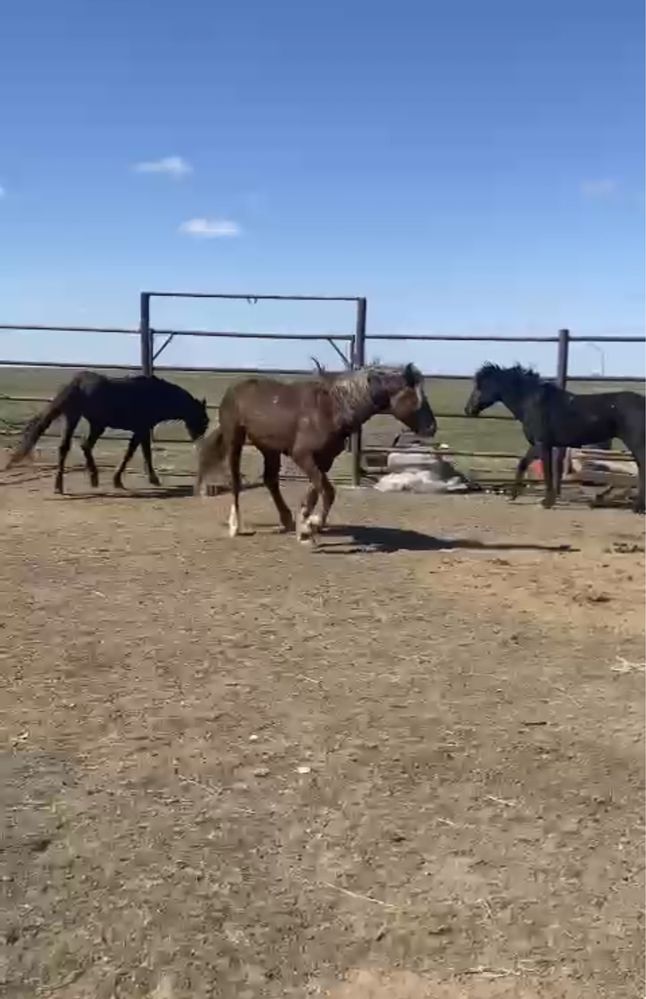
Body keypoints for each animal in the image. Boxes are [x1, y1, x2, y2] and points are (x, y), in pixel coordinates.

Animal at [7, 370, 210, 494]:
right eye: (204, 420)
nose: (200, 441)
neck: (155, 395)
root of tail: (77, 382)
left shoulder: (141, 430)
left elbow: (138, 452)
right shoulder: (142, 429)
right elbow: (136, 453)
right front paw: (139, 480)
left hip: (79, 419)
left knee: (69, 447)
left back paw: (67, 485)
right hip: (93, 423)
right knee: (82, 445)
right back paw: (88, 479)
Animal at [197, 364, 438, 544]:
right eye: (415, 397)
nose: (432, 428)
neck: (331, 409)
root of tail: (233, 389)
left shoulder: (323, 460)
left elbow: (315, 491)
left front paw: (304, 525)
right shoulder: (302, 455)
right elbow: (328, 491)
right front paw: (311, 526)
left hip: (269, 448)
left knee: (270, 479)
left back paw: (286, 521)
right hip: (234, 439)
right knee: (236, 480)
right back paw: (235, 526)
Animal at [468, 364, 644, 512]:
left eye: (479, 387)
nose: (468, 410)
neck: (532, 403)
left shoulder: (542, 444)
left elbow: (547, 472)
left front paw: (546, 502)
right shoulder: (539, 445)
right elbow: (523, 464)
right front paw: (513, 495)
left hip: (635, 443)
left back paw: (638, 507)